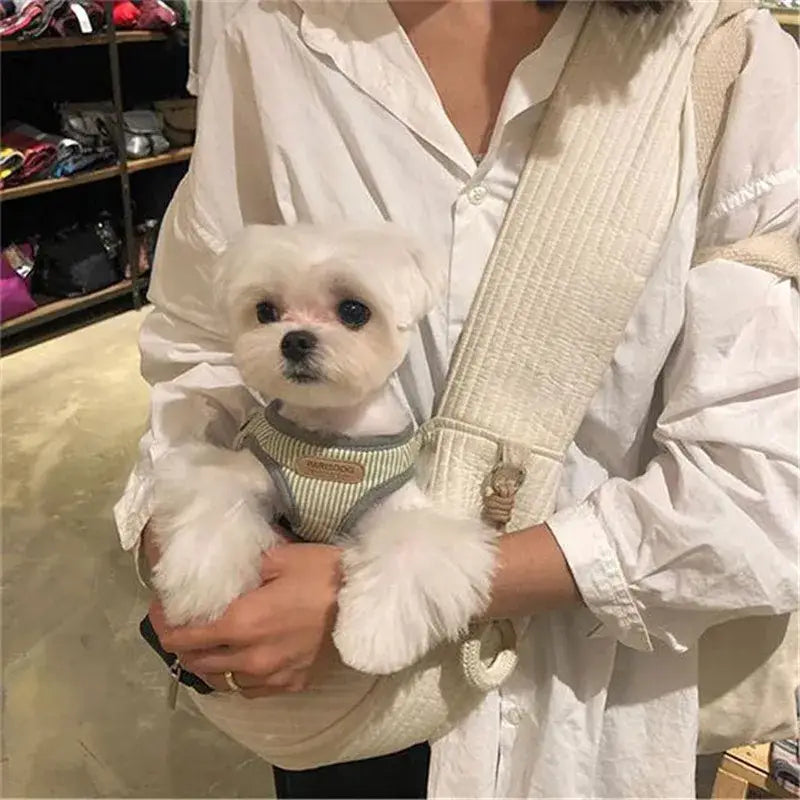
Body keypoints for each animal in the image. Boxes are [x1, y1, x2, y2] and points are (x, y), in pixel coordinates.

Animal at [150, 223, 496, 676]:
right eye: (265, 311)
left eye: (354, 311)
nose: (295, 340)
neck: (330, 438)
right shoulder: (248, 469)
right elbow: (218, 499)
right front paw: (201, 586)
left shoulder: (402, 507)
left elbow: (410, 543)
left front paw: (372, 639)